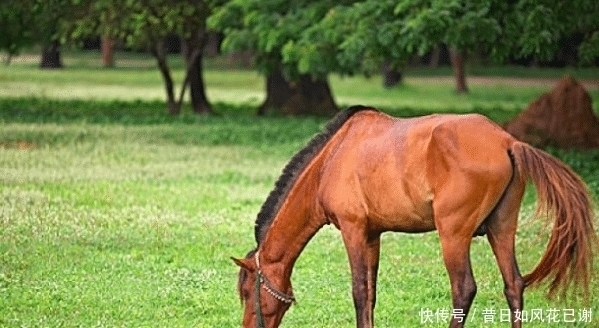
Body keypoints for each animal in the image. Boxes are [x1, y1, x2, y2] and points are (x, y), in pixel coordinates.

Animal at [232, 106, 596, 326]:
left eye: (247, 292)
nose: (248, 325)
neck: (331, 158)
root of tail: (507, 142)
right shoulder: (372, 235)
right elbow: (371, 293)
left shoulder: (352, 230)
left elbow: (359, 292)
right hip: (502, 228)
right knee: (514, 285)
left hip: (453, 234)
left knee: (463, 289)